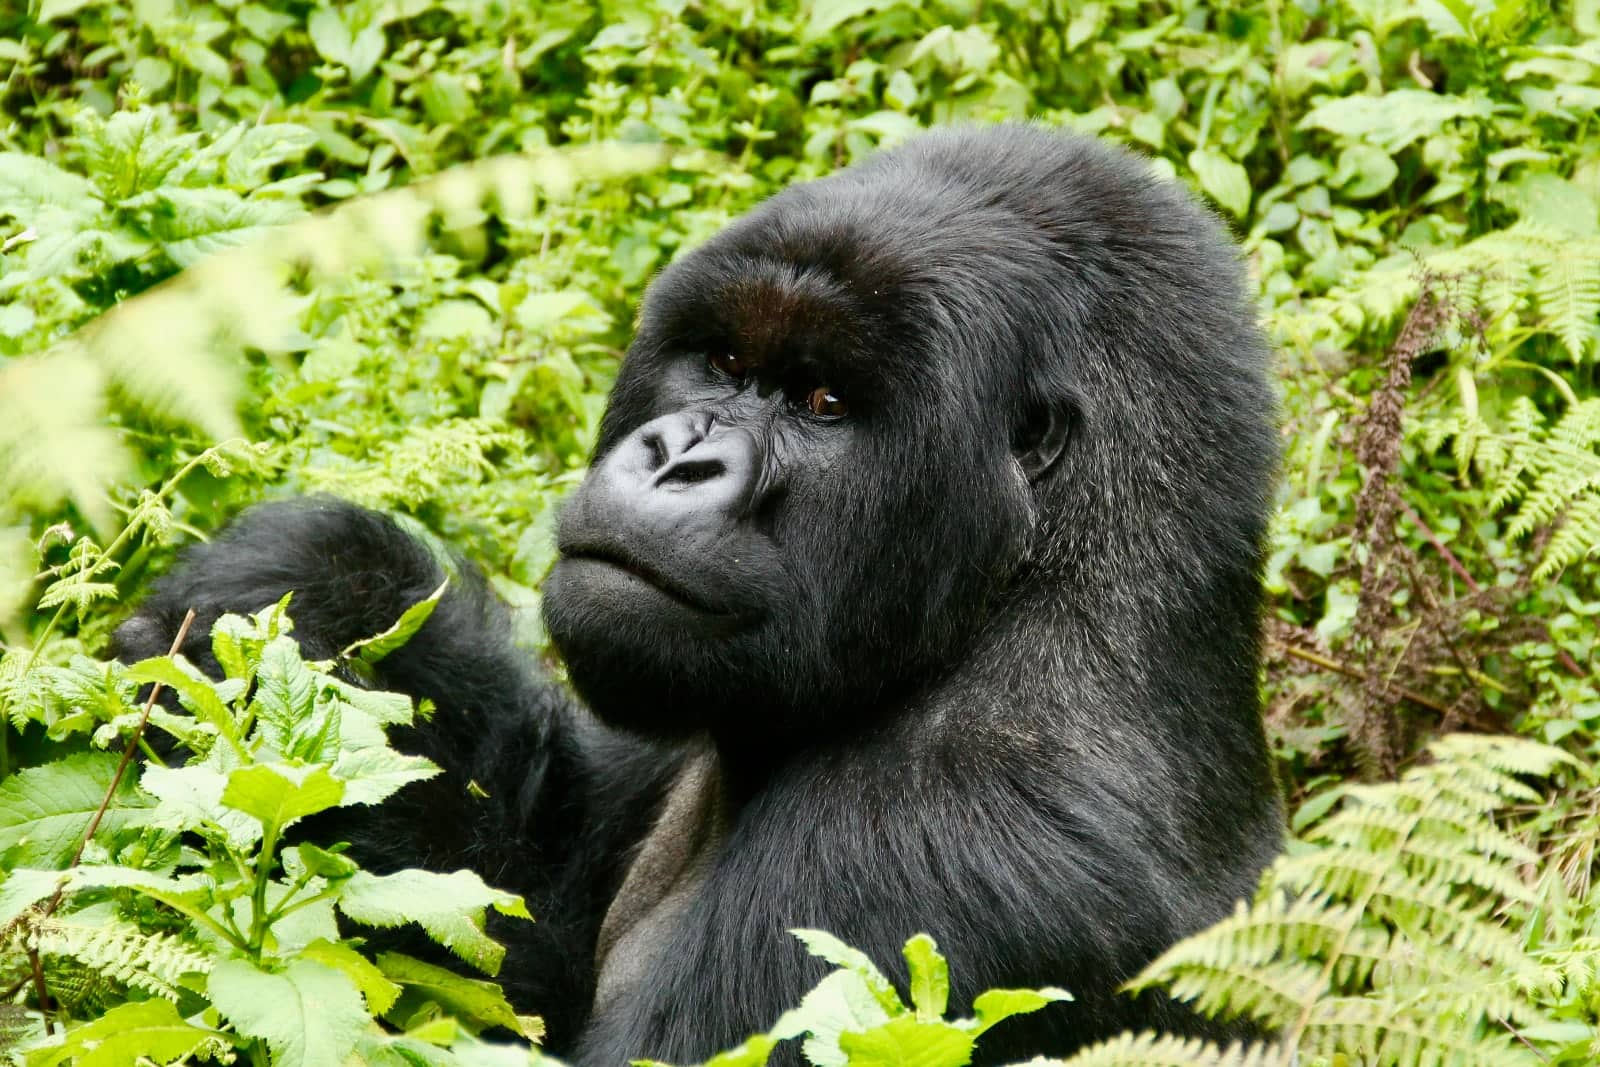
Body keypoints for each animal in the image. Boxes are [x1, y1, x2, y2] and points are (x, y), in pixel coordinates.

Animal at [112, 129, 1280, 1062]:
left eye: (822, 402)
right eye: (721, 360)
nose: (676, 458)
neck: (1032, 595)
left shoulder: (933, 854)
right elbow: (497, 920)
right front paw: (310, 590)